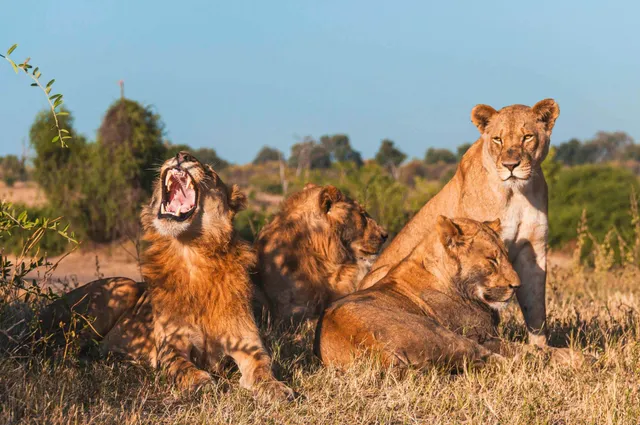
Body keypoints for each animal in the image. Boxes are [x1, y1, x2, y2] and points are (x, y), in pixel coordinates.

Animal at [39, 151, 293, 401]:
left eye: (211, 173)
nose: (182, 155)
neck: (192, 253)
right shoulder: (171, 344)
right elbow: (181, 366)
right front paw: (200, 381)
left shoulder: (248, 344)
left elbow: (263, 365)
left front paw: (276, 388)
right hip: (123, 287)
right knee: (60, 347)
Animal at [358, 99, 560, 347]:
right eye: (498, 139)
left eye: (527, 137)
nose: (510, 165)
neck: (517, 193)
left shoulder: (533, 251)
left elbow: (536, 309)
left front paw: (540, 348)